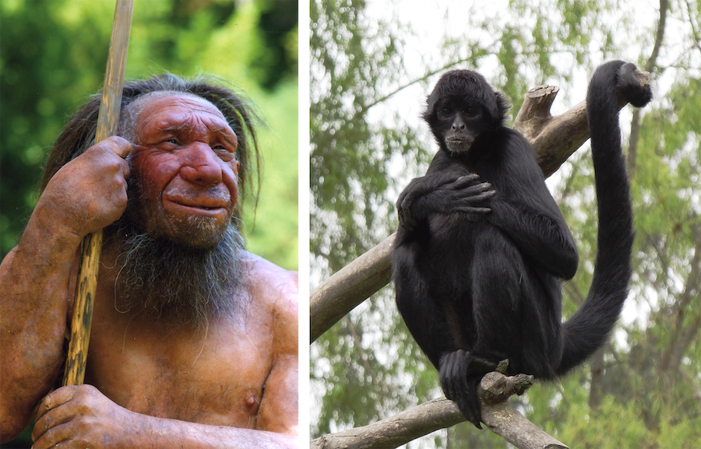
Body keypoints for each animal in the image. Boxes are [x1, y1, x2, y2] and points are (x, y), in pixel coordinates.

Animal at [392, 61, 652, 428]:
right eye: (446, 112)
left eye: (470, 111)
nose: (457, 125)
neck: (474, 157)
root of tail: (555, 346)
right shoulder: (440, 158)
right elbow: (405, 236)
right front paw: (434, 195)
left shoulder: (514, 147)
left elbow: (565, 256)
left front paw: (436, 189)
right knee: (406, 256)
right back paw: (458, 366)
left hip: (535, 339)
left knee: (492, 239)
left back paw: (485, 361)